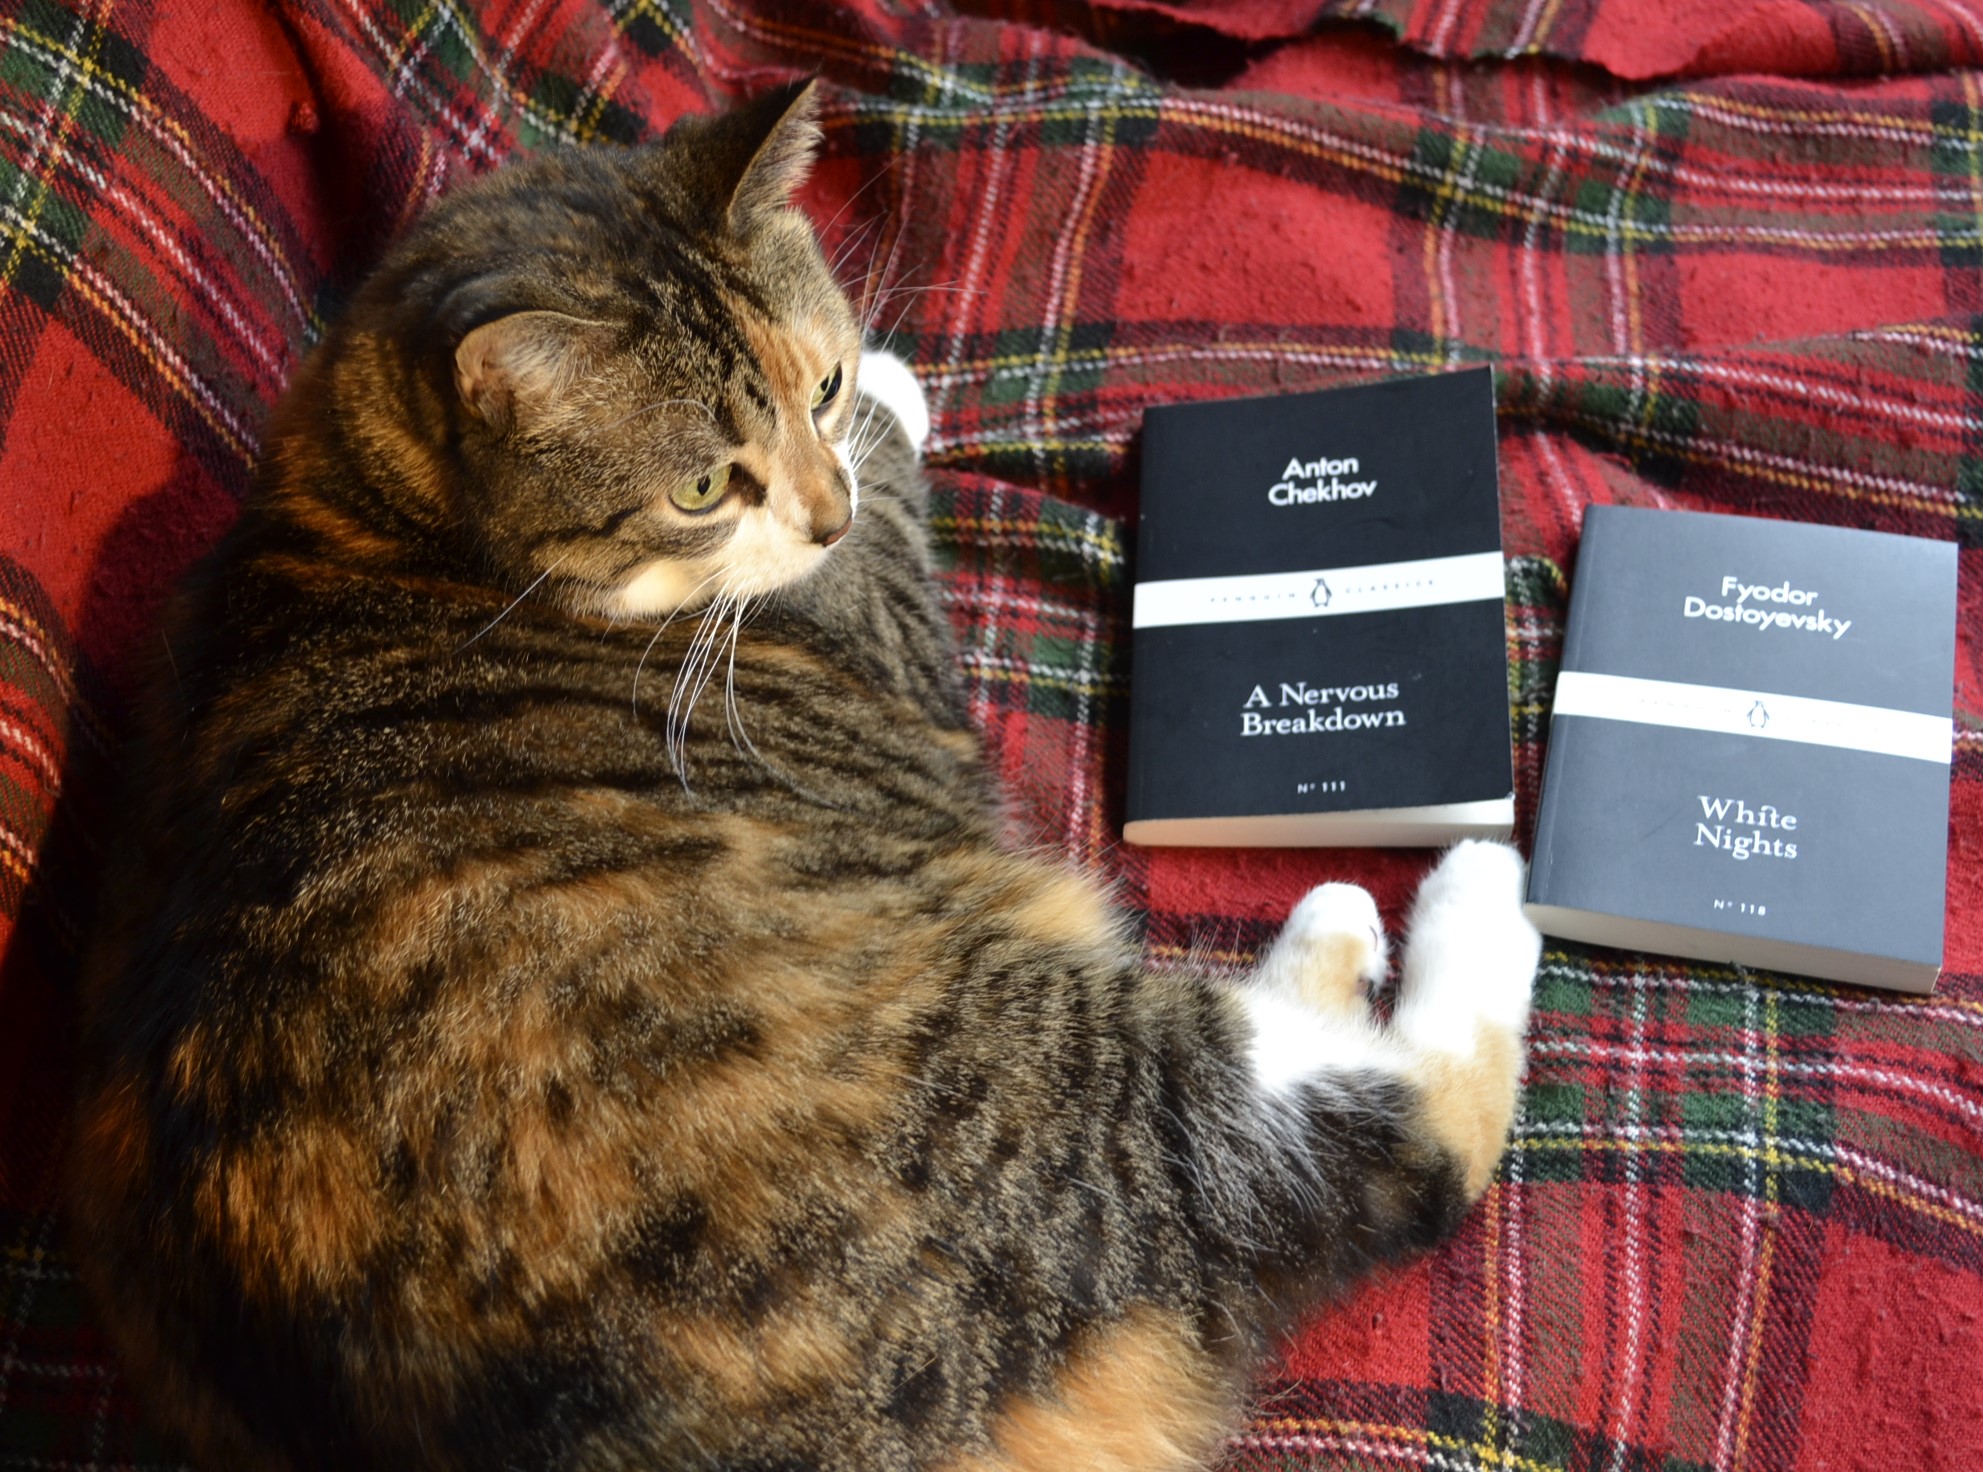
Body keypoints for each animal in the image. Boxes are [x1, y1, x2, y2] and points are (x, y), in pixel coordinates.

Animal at [69, 83, 1538, 1472]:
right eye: (703, 486)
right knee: (1386, 1136)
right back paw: (1444, 897)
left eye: (811, 389)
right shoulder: (876, 616)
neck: (383, 511)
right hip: (1038, 1089)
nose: (817, 509)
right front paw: (900, 394)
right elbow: (893, 510)